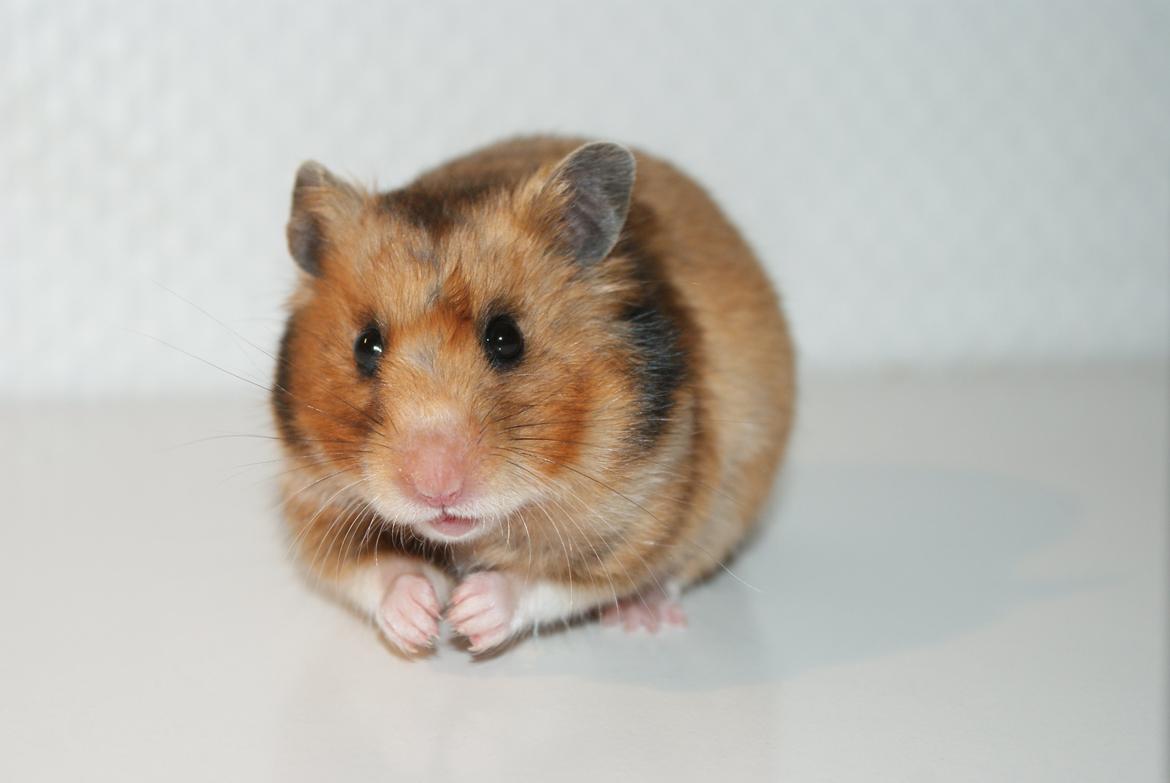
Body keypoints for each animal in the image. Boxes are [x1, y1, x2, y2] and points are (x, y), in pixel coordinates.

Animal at [272, 136, 795, 655]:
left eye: (507, 339)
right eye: (366, 346)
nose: (436, 490)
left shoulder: (646, 509)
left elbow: (553, 583)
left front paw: (467, 613)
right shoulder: (312, 501)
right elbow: (375, 570)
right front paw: (422, 618)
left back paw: (642, 618)